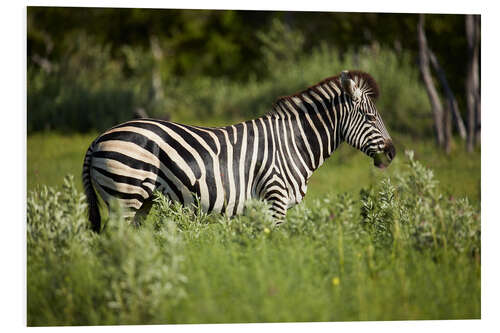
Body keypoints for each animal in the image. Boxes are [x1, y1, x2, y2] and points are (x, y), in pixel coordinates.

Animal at [82, 69, 394, 231]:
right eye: (370, 117)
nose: (392, 153)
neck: (293, 144)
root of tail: (99, 138)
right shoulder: (275, 198)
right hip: (124, 194)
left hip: (141, 201)